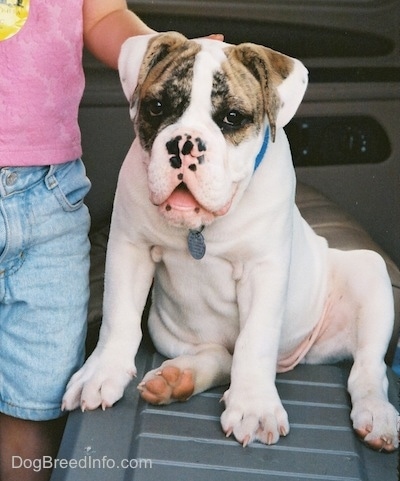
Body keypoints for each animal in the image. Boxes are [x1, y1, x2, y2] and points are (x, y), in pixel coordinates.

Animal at [62, 31, 396, 452]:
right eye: (157, 107)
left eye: (231, 118)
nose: (184, 144)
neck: (201, 227)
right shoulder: (129, 248)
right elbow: (118, 317)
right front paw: (101, 370)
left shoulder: (263, 270)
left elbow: (255, 341)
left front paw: (253, 405)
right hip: (171, 333)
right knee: (220, 356)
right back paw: (180, 377)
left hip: (370, 272)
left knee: (368, 368)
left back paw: (377, 415)